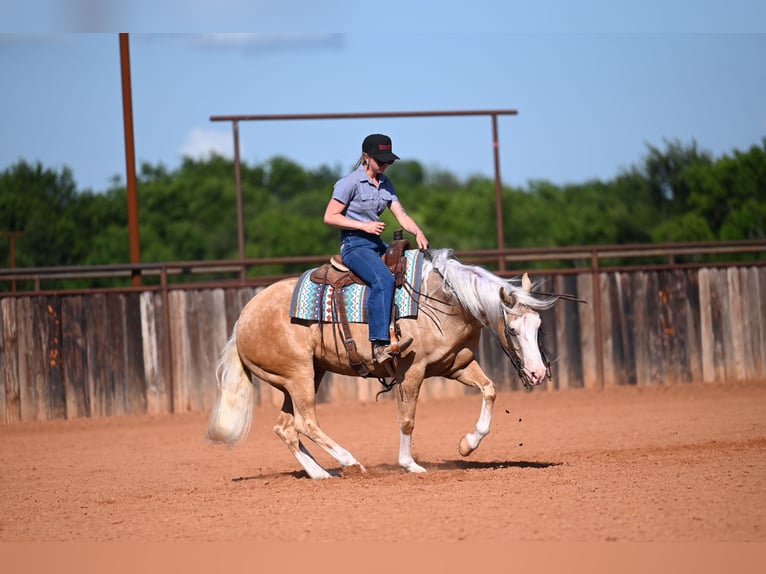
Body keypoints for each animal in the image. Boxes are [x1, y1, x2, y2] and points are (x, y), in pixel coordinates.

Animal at [206, 248, 560, 479]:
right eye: (512, 330)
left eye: (539, 326)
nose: (538, 373)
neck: (443, 301)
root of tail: (243, 319)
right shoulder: (411, 372)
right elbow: (407, 420)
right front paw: (410, 464)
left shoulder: (456, 365)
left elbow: (489, 390)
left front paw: (467, 445)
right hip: (299, 375)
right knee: (305, 423)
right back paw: (350, 462)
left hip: (301, 378)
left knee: (286, 428)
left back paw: (321, 474)